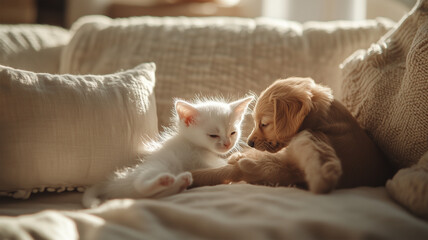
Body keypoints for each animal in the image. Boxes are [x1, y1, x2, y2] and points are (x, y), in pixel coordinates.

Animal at [82, 95, 252, 208]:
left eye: (233, 133)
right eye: (213, 135)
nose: (227, 144)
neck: (193, 144)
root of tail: (112, 183)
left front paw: (238, 156)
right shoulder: (198, 160)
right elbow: (219, 166)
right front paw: (238, 162)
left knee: (149, 195)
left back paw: (180, 182)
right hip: (157, 166)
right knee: (140, 185)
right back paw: (164, 180)